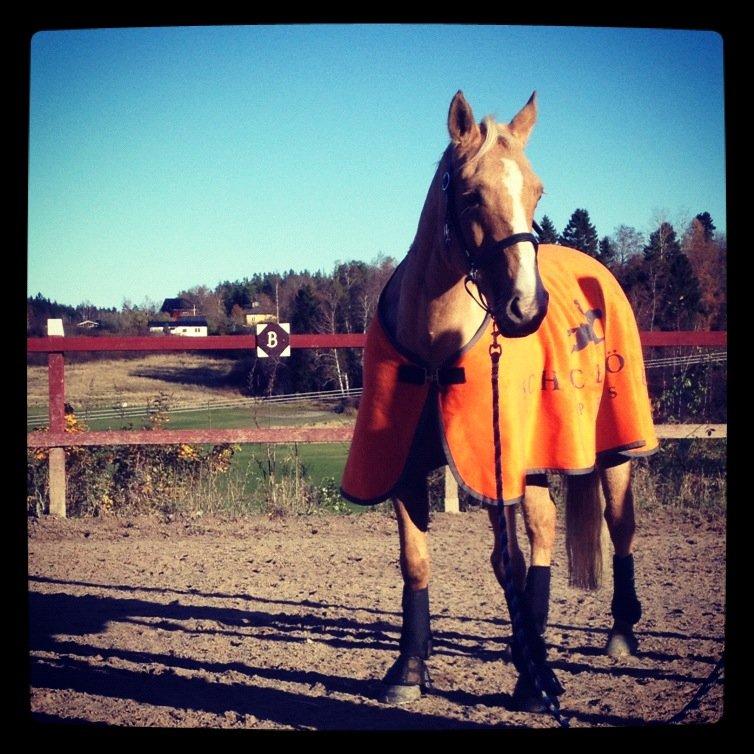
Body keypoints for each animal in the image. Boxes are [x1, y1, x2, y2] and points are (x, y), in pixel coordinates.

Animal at [338, 91, 656, 712]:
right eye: (469, 194)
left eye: (537, 191)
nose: (526, 308)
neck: (435, 348)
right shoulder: (407, 469)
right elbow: (416, 561)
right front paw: (408, 668)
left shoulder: (495, 467)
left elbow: (510, 563)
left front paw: (537, 677)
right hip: (531, 466)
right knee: (544, 530)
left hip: (614, 454)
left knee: (615, 526)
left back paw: (615, 635)